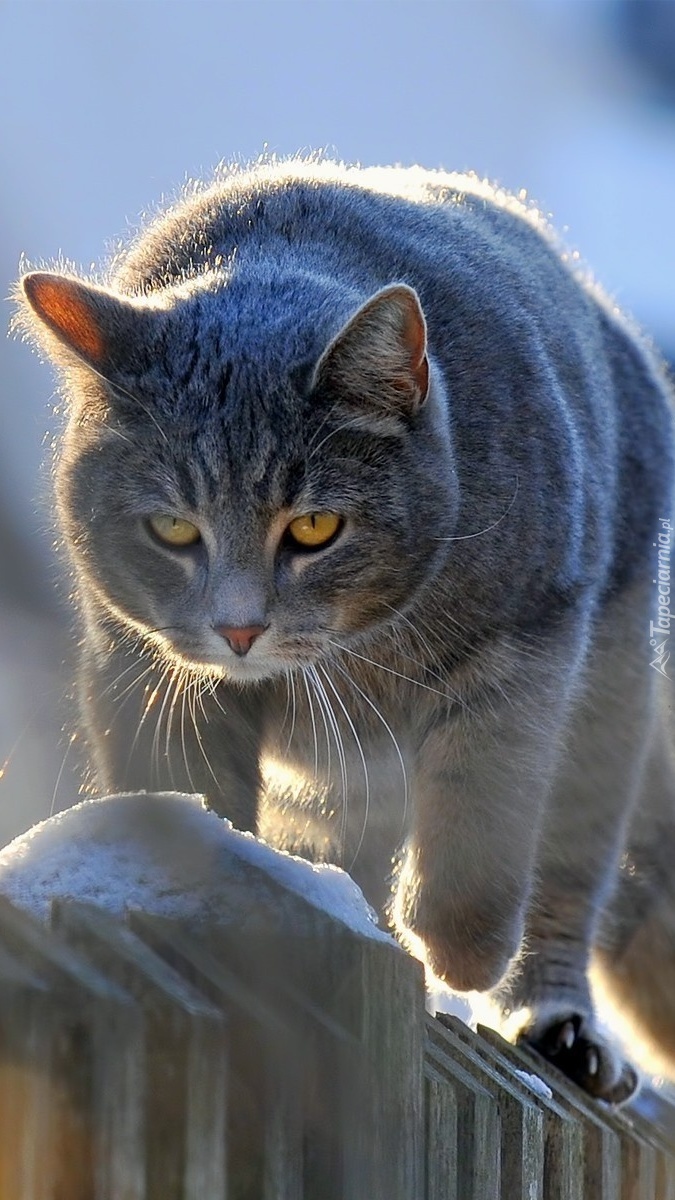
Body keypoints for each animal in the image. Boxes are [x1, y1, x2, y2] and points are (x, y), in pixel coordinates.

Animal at [13, 159, 672, 1104]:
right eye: (172, 529)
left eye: (315, 528)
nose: (238, 628)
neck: (352, 658)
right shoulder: (142, 668)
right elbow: (192, 798)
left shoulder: (529, 645)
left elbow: (482, 813)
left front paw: (460, 953)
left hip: (607, 699)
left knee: (565, 879)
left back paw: (556, 1026)